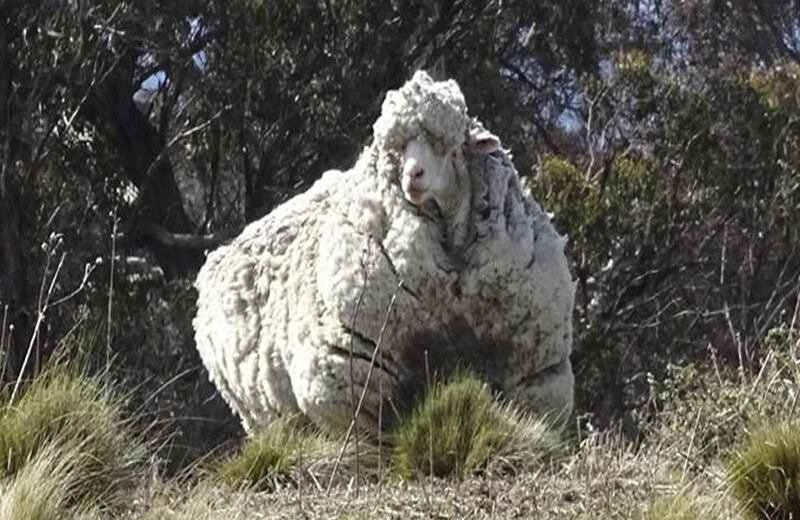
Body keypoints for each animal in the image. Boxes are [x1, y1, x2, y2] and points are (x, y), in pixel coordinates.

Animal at [193, 70, 575, 435]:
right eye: (397, 150)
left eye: (448, 146)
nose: (413, 176)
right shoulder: (355, 381)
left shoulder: (533, 376)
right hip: (263, 415)